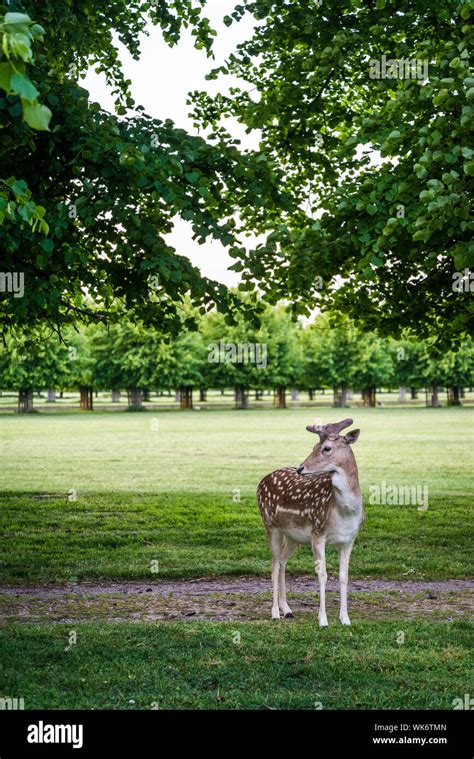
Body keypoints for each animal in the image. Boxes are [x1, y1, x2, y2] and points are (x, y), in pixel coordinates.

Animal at [260, 418, 362, 628]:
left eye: (326, 448)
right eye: (314, 446)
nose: (301, 468)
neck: (344, 512)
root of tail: (261, 482)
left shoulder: (349, 539)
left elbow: (344, 576)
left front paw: (345, 619)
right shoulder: (318, 532)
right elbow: (322, 575)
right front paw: (323, 620)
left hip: (293, 536)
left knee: (282, 561)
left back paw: (287, 609)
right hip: (270, 525)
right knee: (274, 565)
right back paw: (274, 613)